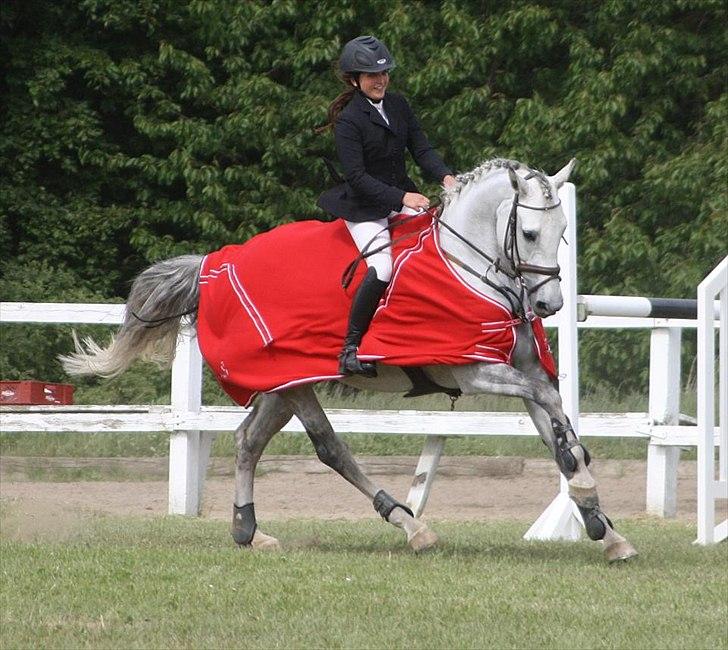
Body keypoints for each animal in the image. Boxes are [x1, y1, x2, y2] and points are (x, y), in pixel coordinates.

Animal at [62, 158, 636, 560]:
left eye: (563, 234)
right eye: (531, 233)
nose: (549, 305)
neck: (467, 269)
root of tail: (215, 262)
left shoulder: (525, 368)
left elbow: (554, 422)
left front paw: (602, 524)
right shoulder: (474, 369)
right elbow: (548, 406)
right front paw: (586, 492)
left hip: (284, 383)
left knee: (248, 441)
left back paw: (249, 531)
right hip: (294, 382)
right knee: (329, 448)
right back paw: (410, 526)